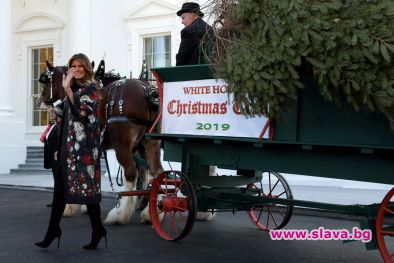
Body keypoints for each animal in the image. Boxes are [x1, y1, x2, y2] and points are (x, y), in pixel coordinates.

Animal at [37, 60, 164, 225]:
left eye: (46, 81)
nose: (40, 101)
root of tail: (148, 92)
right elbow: (89, 173)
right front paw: (86, 205)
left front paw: (68, 207)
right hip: (149, 144)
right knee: (156, 173)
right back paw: (150, 213)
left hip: (123, 146)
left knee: (131, 174)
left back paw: (120, 214)